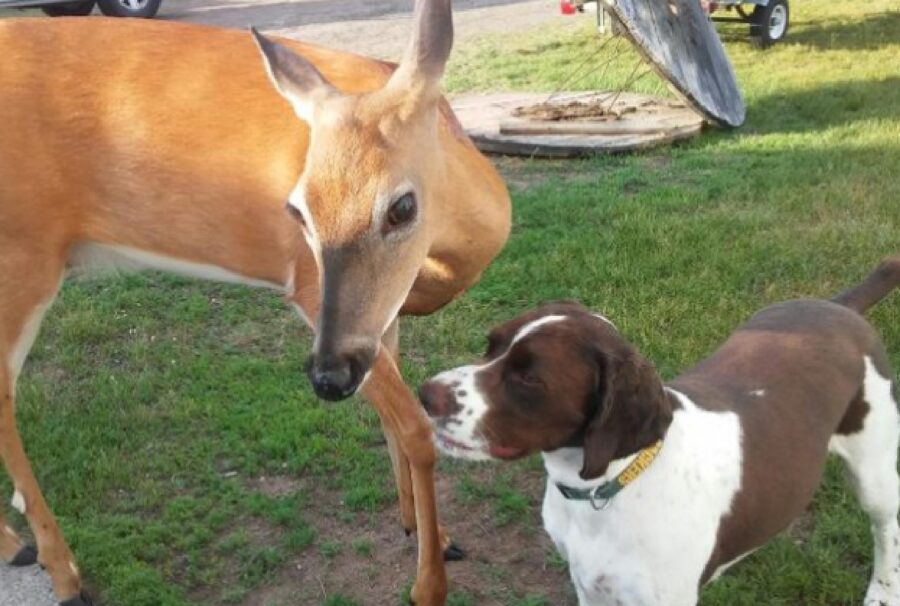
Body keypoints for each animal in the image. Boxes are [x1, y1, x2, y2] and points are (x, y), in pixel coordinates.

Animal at [0, 1, 510, 606]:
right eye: (298, 210)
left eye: (402, 206)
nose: (327, 378)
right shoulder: (312, 290)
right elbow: (416, 430)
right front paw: (429, 580)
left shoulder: (382, 316)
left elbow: (394, 427)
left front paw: (425, 531)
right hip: (21, 255)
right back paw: (63, 572)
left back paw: (17, 546)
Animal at [418, 258, 900, 604]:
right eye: (491, 345)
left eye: (529, 378)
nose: (425, 394)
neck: (604, 487)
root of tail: (840, 306)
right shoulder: (589, 587)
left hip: (874, 473)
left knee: (886, 529)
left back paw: (881, 592)